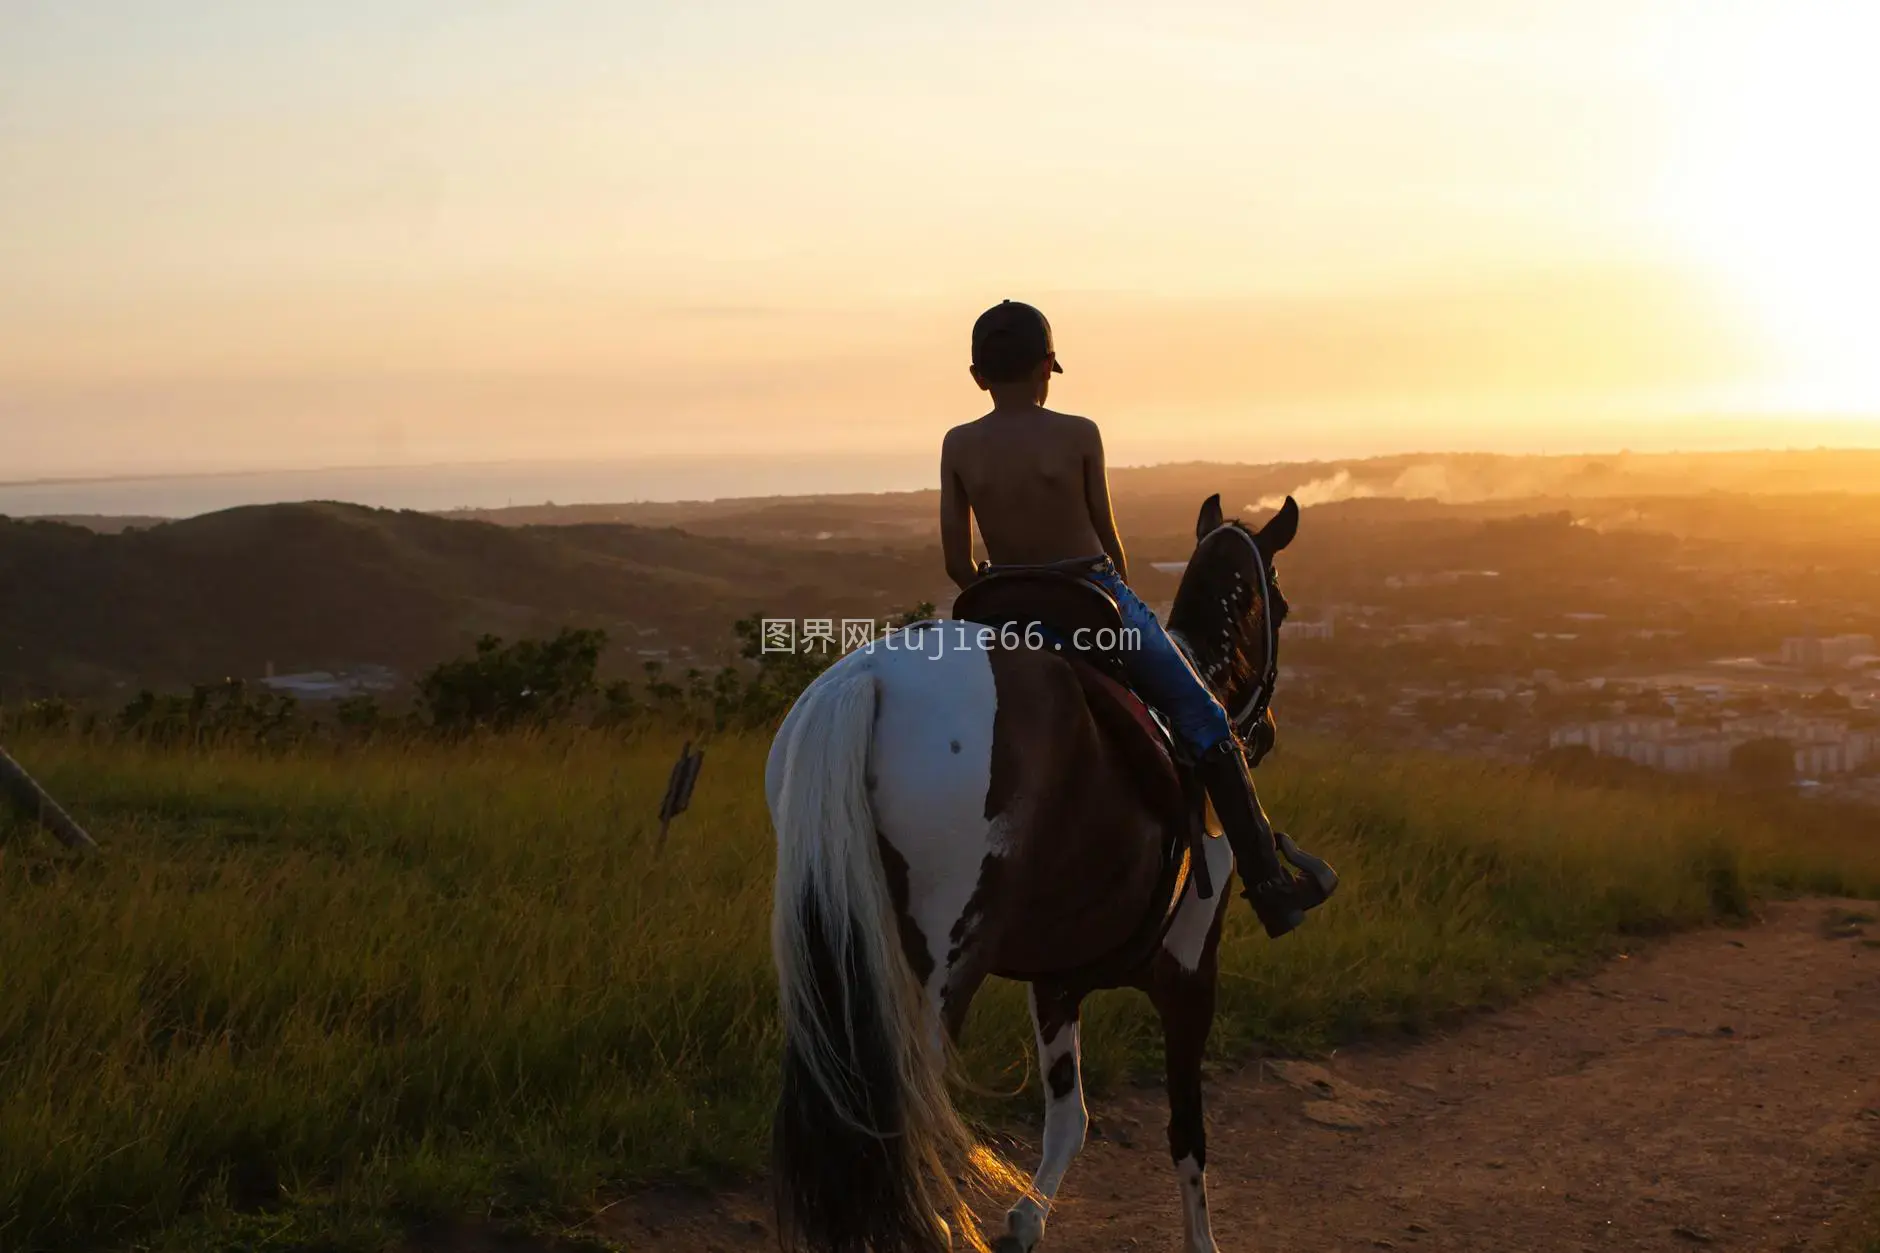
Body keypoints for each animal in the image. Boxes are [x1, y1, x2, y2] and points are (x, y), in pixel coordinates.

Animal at [759, 492, 1293, 1241]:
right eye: (1282, 601)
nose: (1262, 732)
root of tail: (868, 679)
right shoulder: (1190, 971)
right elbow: (1187, 1131)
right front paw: (1201, 1240)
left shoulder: (1057, 981)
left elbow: (1070, 1119)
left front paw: (1024, 1223)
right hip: (940, 968)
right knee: (911, 1101)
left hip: (841, 952)